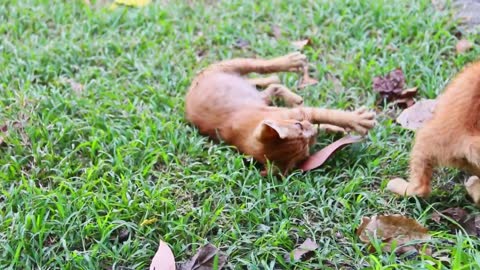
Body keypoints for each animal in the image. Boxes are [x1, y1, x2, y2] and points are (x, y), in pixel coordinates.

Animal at [186, 52, 376, 174]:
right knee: (273, 86)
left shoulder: (300, 114)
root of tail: (193, 83)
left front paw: (353, 121)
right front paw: (354, 122)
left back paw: (290, 63)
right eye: (307, 151)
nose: (312, 133)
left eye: (298, 126)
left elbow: (328, 115)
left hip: (234, 66)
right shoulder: (301, 116)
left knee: (262, 67)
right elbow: (324, 119)